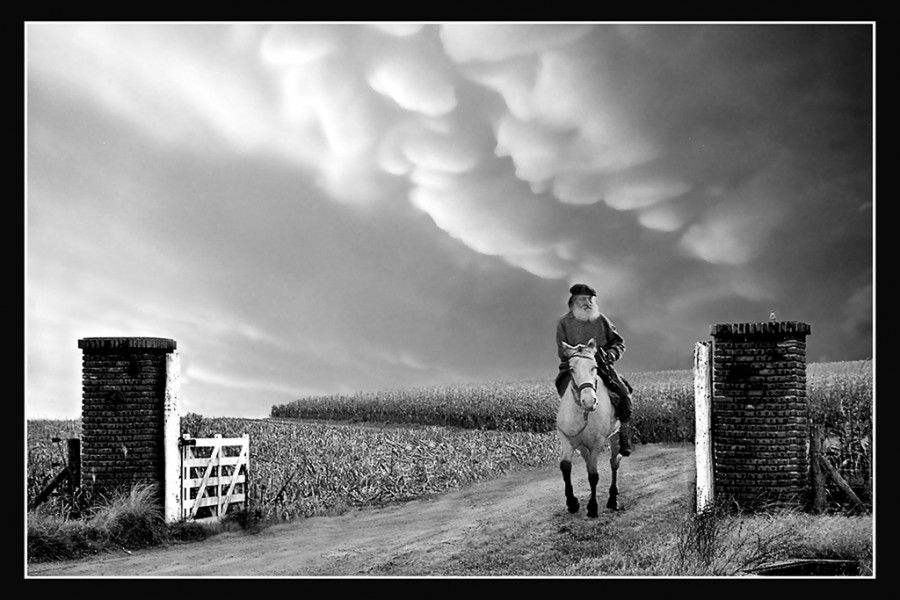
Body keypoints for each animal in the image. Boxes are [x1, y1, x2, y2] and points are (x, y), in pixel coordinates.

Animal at [552, 338, 624, 516]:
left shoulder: (598, 443)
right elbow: (565, 466)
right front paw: (572, 503)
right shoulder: (567, 439)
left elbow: (593, 475)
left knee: (614, 462)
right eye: (572, 369)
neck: (582, 413)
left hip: (615, 436)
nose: (589, 401)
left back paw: (613, 500)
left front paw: (592, 507)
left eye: (595, 367)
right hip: (583, 446)